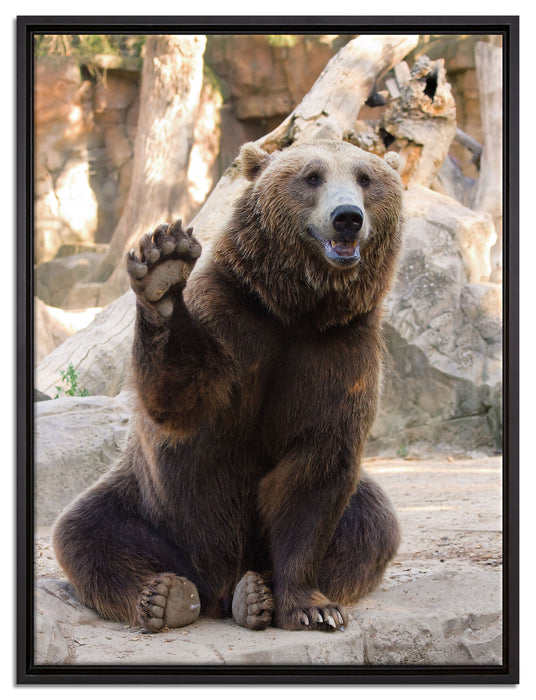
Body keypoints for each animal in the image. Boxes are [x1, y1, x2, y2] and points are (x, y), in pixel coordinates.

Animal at [52, 139, 404, 633]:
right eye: (312, 176)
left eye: (365, 178)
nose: (347, 217)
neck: (297, 309)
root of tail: (214, 587)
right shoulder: (231, 317)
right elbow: (180, 398)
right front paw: (163, 271)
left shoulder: (340, 351)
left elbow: (316, 474)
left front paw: (312, 607)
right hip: (149, 505)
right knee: (86, 533)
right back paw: (165, 597)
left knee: (371, 526)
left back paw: (254, 593)